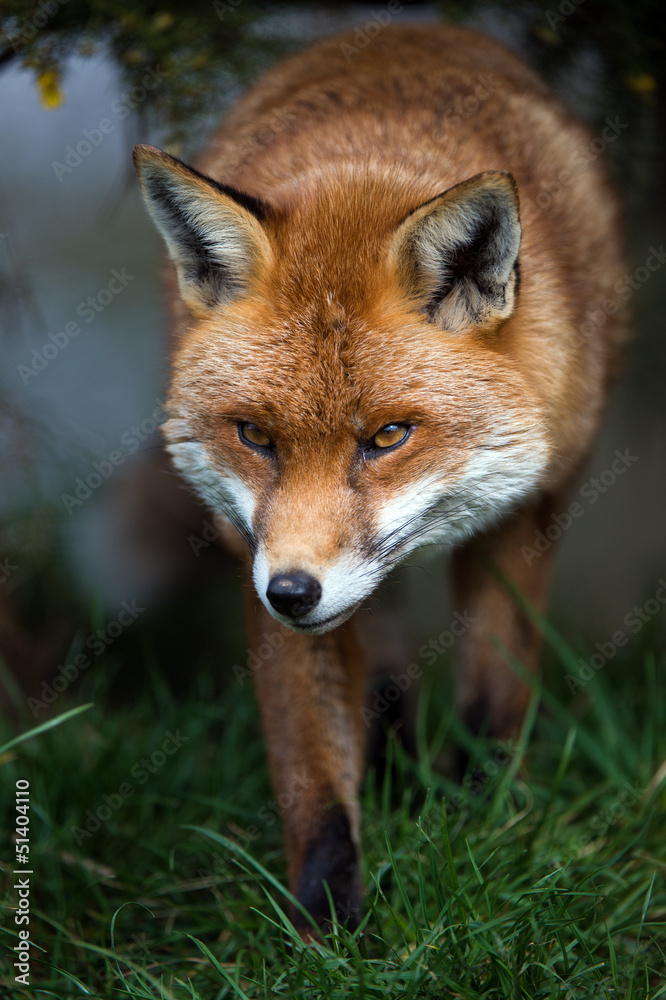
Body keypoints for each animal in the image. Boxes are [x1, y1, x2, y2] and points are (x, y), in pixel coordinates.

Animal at [133, 23, 626, 934]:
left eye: (388, 436)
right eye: (255, 436)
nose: (293, 593)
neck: (366, 166)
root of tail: (404, 28)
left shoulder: (525, 513)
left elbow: (494, 698)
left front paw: (477, 829)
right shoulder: (260, 557)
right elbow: (314, 776)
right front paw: (328, 925)